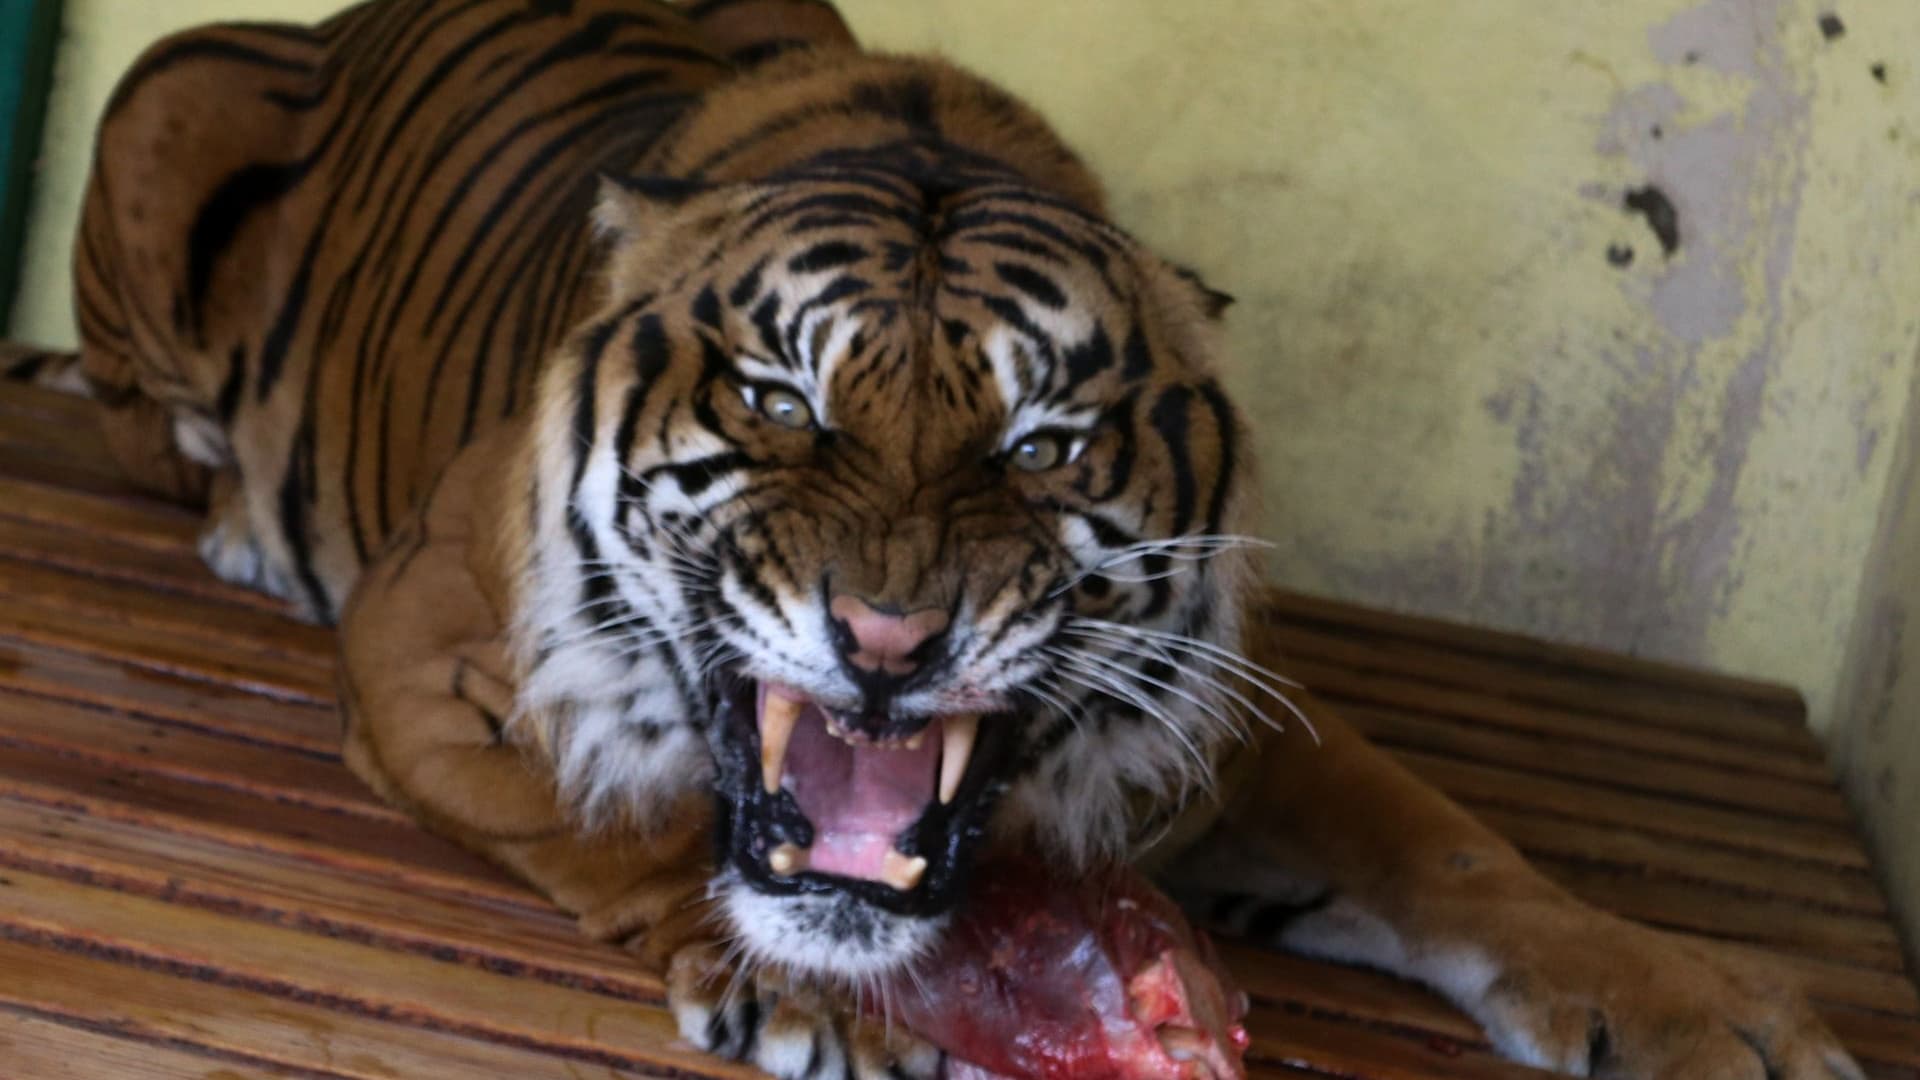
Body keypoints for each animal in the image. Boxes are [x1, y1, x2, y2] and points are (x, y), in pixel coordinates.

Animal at [40, 0, 1862, 1076]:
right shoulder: (419, 651)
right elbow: (645, 831)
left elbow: (1455, 849)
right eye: (780, 399)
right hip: (167, 98)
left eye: (1040, 443)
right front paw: (806, 990)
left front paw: (1706, 1005)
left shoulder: (1218, 728)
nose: (891, 646)